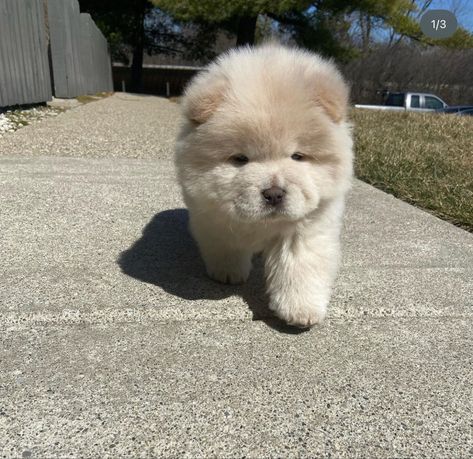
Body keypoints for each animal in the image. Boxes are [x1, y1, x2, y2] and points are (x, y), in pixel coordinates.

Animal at [173, 43, 350, 328]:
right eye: (240, 159)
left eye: (297, 156)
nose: (274, 194)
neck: (262, 226)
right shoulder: (213, 216)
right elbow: (226, 246)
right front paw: (228, 272)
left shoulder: (306, 228)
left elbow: (299, 266)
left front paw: (301, 311)